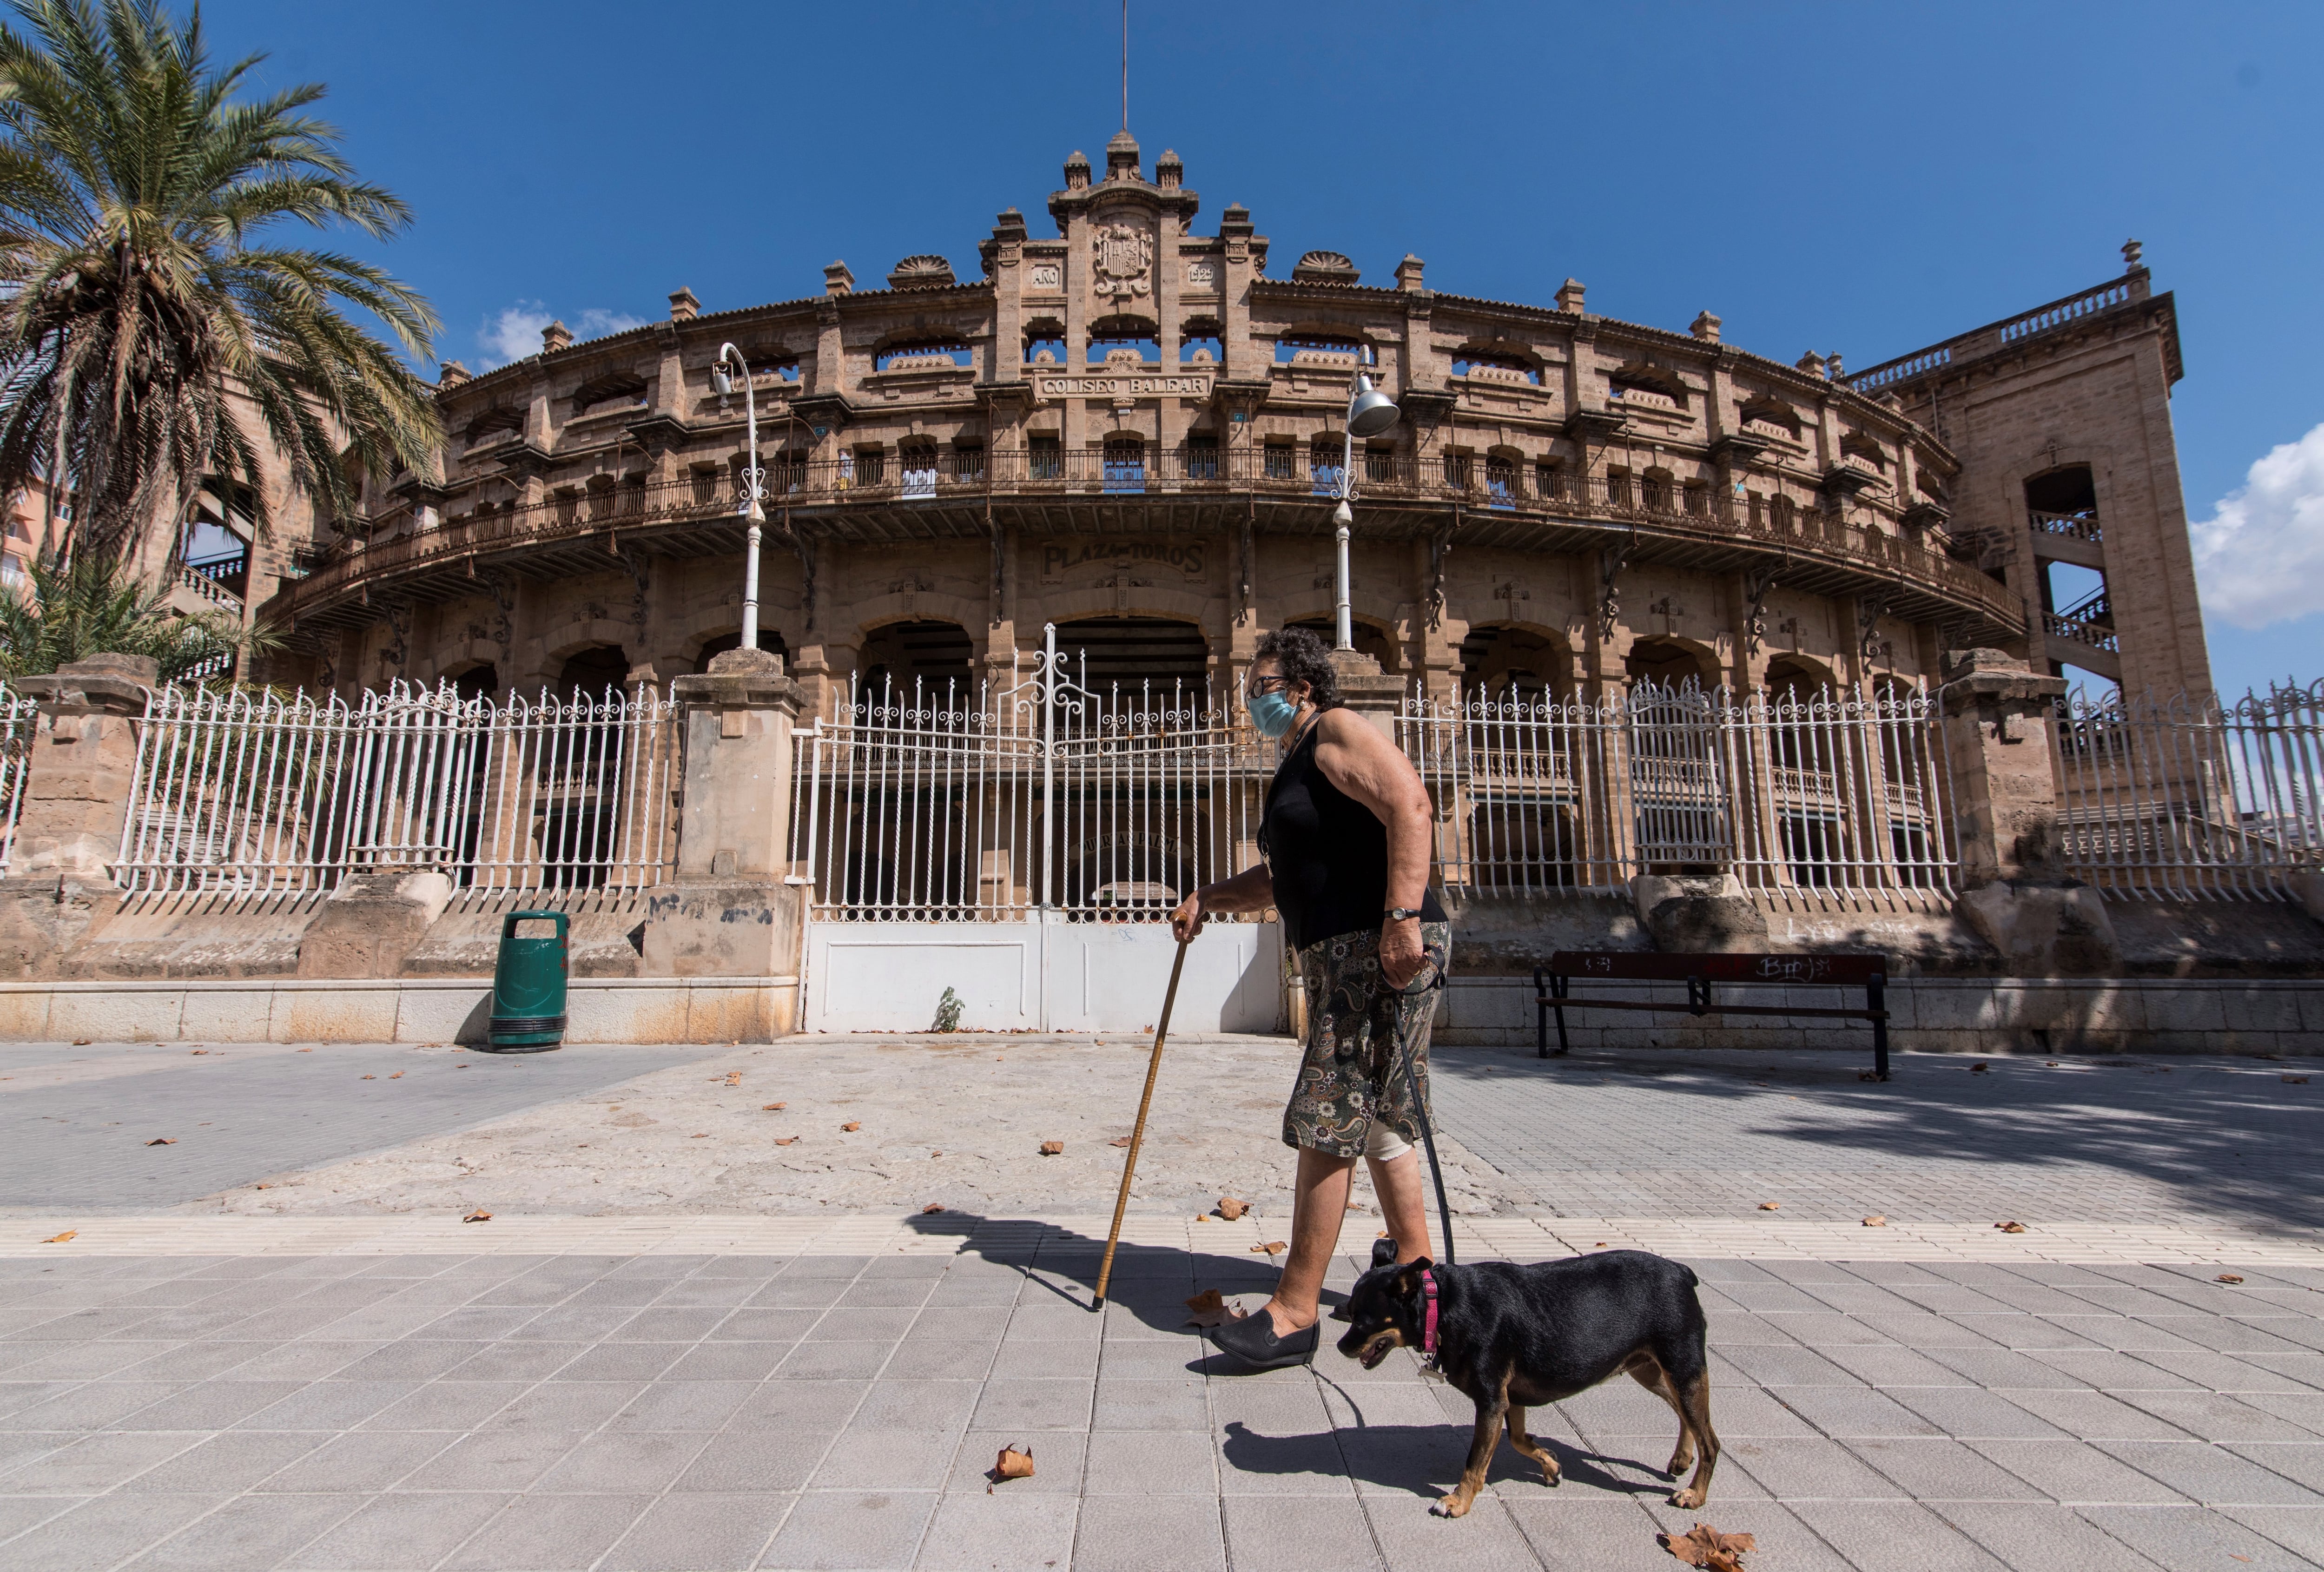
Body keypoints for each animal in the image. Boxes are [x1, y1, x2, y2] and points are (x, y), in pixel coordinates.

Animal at [1339, 1246, 1720, 1516]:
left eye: (1362, 1321)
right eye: (1350, 1315)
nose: (1342, 1346)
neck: (1441, 1305)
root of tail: (1681, 1271)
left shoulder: (1492, 1401)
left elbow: (1475, 1460)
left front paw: (1458, 1501)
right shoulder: (1511, 1398)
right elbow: (1519, 1440)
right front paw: (1549, 1464)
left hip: (1683, 1369)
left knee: (1711, 1441)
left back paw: (1696, 1495)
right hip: (1653, 1372)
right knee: (1689, 1419)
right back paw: (1682, 1459)